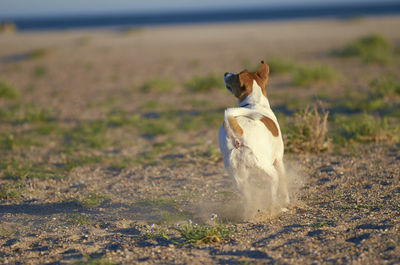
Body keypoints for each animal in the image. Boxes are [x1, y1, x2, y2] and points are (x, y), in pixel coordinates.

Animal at [220, 60, 290, 211]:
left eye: (234, 76)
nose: (225, 73)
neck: (253, 104)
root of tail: (238, 136)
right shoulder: (278, 160)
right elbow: (284, 185)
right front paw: (287, 201)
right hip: (268, 168)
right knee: (273, 190)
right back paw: (276, 208)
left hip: (238, 178)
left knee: (248, 197)